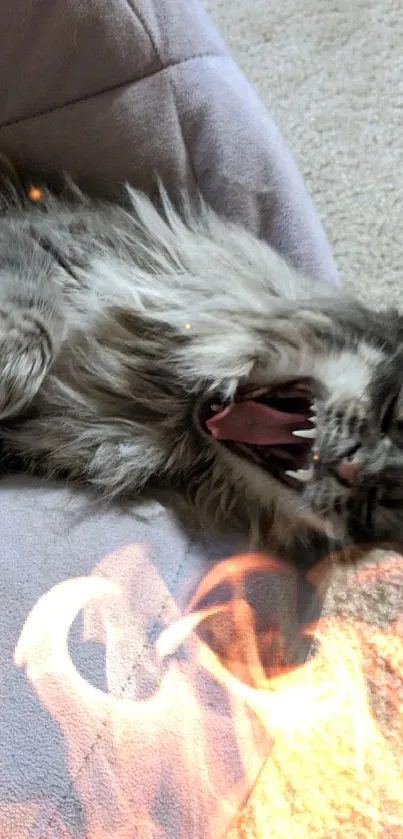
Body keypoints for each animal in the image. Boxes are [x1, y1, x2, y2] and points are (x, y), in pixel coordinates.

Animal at [0, 158, 400, 568]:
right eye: (390, 413)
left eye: (376, 501)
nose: (354, 467)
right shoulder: (37, 242)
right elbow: (39, 311)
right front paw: (14, 373)